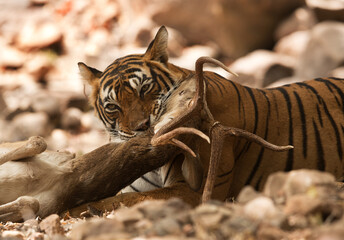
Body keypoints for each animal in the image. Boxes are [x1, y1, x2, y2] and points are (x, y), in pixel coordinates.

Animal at [78, 24, 344, 208]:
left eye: (144, 89)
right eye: (113, 106)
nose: (141, 127)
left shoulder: (192, 190)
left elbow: (124, 201)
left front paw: (88, 209)